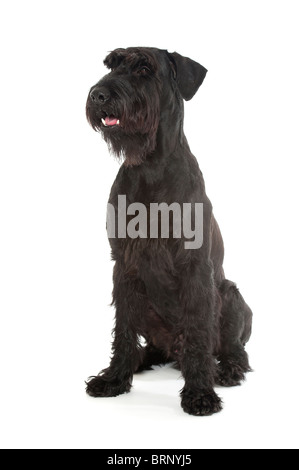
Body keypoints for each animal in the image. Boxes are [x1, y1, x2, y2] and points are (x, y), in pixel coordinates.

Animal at [85, 47, 253, 414]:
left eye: (144, 69)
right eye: (112, 64)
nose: (99, 94)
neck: (149, 166)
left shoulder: (194, 267)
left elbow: (199, 333)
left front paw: (200, 393)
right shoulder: (124, 265)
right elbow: (123, 329)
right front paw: (114, 379)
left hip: (231, 296)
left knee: (234, 348)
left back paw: (228, 370)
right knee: (147, 342)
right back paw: (139, 360)